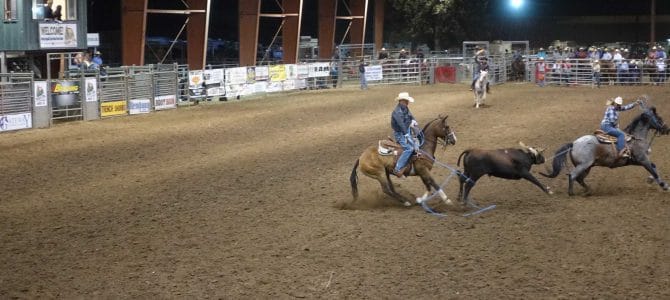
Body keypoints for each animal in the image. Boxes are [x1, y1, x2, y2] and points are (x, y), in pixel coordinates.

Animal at [540, 104, 670, 196]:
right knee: (572, 175)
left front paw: (652, 180)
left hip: (587, 167)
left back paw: (588, 190)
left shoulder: (636, 161)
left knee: (579, 179)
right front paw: (664, 185)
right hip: (583, 165)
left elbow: (654, 167)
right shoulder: (642, 159)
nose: (667, 129)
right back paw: (572, 193)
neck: (636, 138)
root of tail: (574, 143)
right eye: (659, 118)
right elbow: (653, 170)